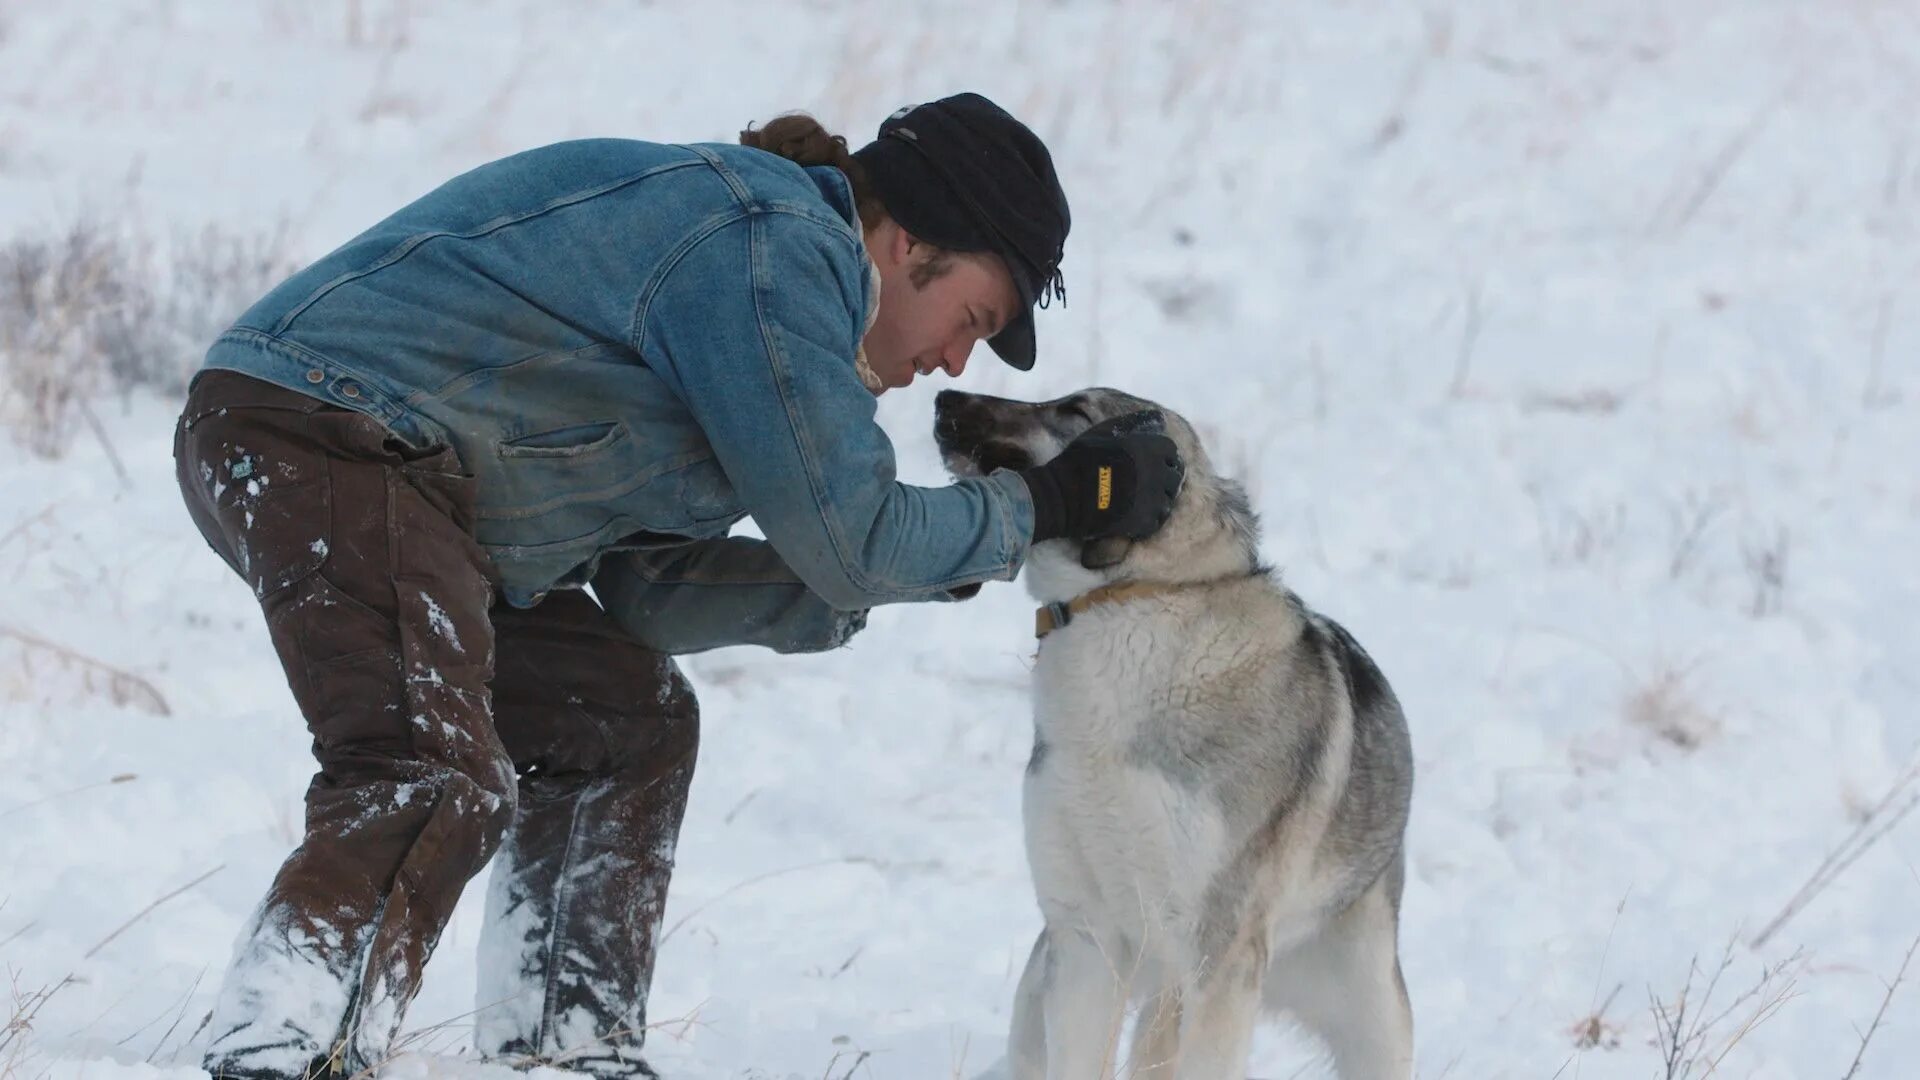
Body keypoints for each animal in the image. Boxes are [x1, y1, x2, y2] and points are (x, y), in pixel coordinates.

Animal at [936, 388, 1420, 1076]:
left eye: (1074, 412)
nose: (943, 397)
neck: (1135, 601)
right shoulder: (1085, 943)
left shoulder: (1222, 961)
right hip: (1051, 999)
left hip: (1372, 1017)